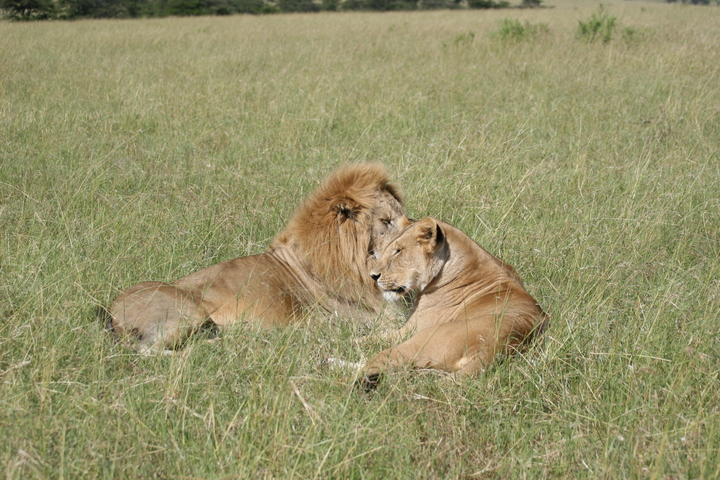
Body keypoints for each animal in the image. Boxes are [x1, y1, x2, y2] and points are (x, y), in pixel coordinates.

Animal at [359, 217, 547, 389]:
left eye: (398, 251)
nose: (373, 276)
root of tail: (498, 346)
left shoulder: (408, 330)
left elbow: (371, 337)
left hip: (420, 341)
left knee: (374, 363)